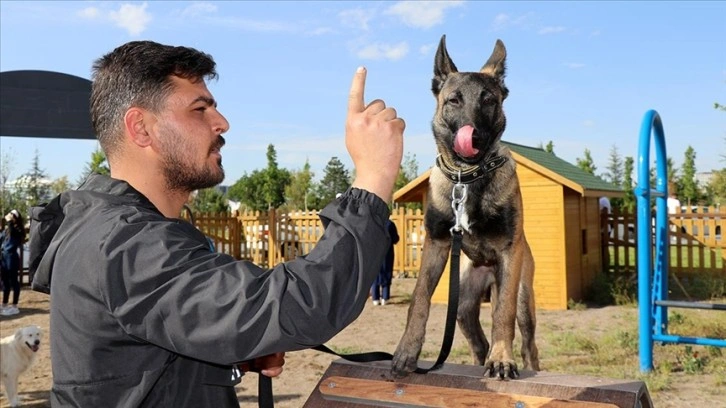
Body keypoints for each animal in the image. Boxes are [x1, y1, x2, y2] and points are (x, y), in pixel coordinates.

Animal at [392, 35, 540, 380]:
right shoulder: (435, 246)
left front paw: (502, 359)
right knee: (477, 340)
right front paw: (407, 351)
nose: (473, 138)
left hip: (522, 295)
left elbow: (502, 315)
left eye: (488, 100)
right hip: (461, 304)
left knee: (527, 342)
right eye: (454, 101)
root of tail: (485, 269)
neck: (467, 178)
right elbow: (418, 300)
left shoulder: (509, 254)